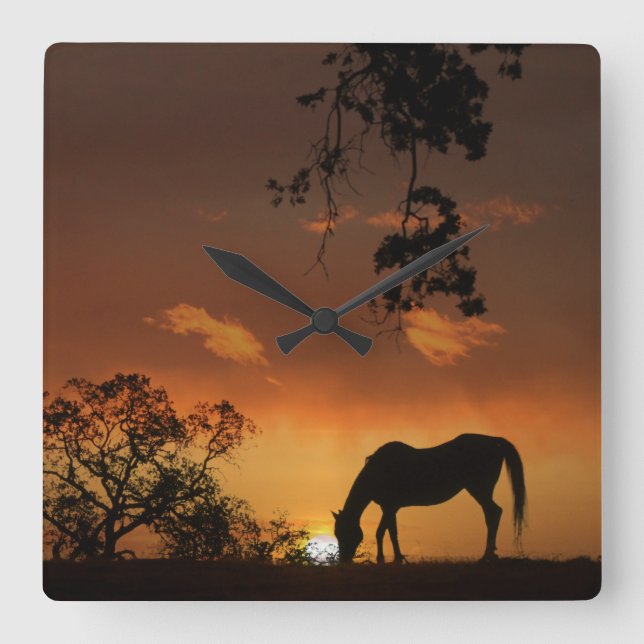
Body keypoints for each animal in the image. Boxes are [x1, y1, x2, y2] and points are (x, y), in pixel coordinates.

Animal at [332, 434, 526, 563]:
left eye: (345, 532)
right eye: (336, 533)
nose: (344, 561)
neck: (378, 471)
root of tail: (494, 441)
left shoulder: (390, 507)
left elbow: (387, 532)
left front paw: (390, 559)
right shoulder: (389, 507)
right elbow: (386, 532)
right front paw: (389, 558)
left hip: (479, 489)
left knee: (493, 513)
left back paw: (487, 556)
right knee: (492, 514)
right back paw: (490, 554)